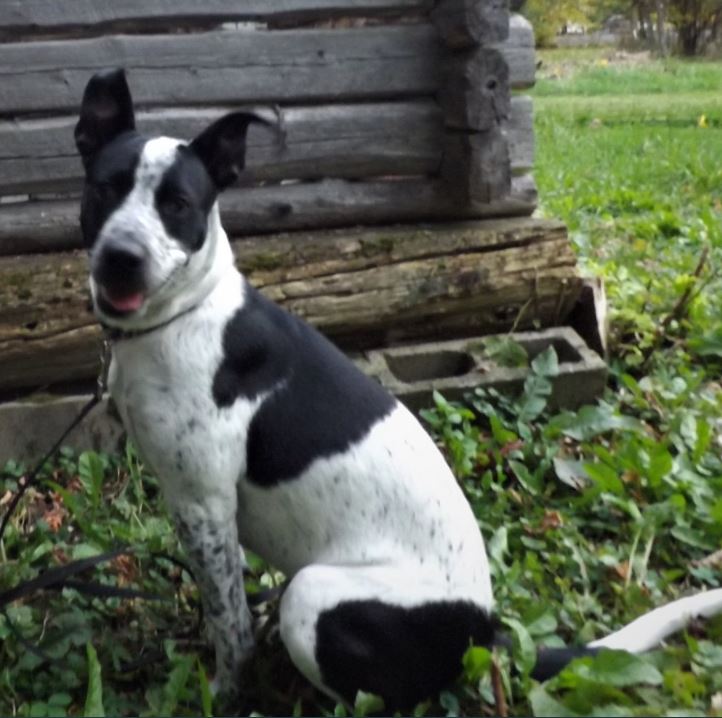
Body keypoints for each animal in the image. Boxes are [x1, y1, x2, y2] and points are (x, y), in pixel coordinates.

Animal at [74, 69, 722, 709]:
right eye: (104, 190)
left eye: (178, 205)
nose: (121, 258)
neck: (186, 311)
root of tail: (481, 634)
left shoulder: (204, 504)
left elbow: (227, 623)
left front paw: (226, 690)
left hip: (312, 596)